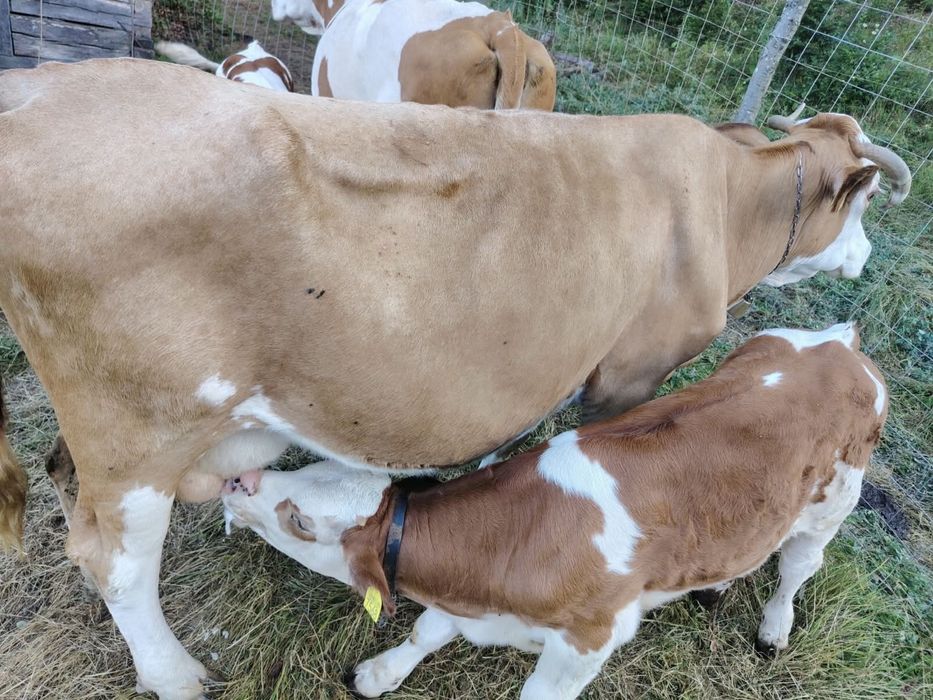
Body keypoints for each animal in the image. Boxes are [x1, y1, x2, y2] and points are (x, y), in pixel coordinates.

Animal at [221, 323, 889, 699]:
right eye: (306, 471)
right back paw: (715, 587)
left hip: (833, 505)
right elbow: (424, 630)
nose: (237, 479)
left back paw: (775, 627)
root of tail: (841, 345)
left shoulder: (589, 641)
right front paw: (380, 675)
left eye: (300, 519)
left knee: (798, 567)